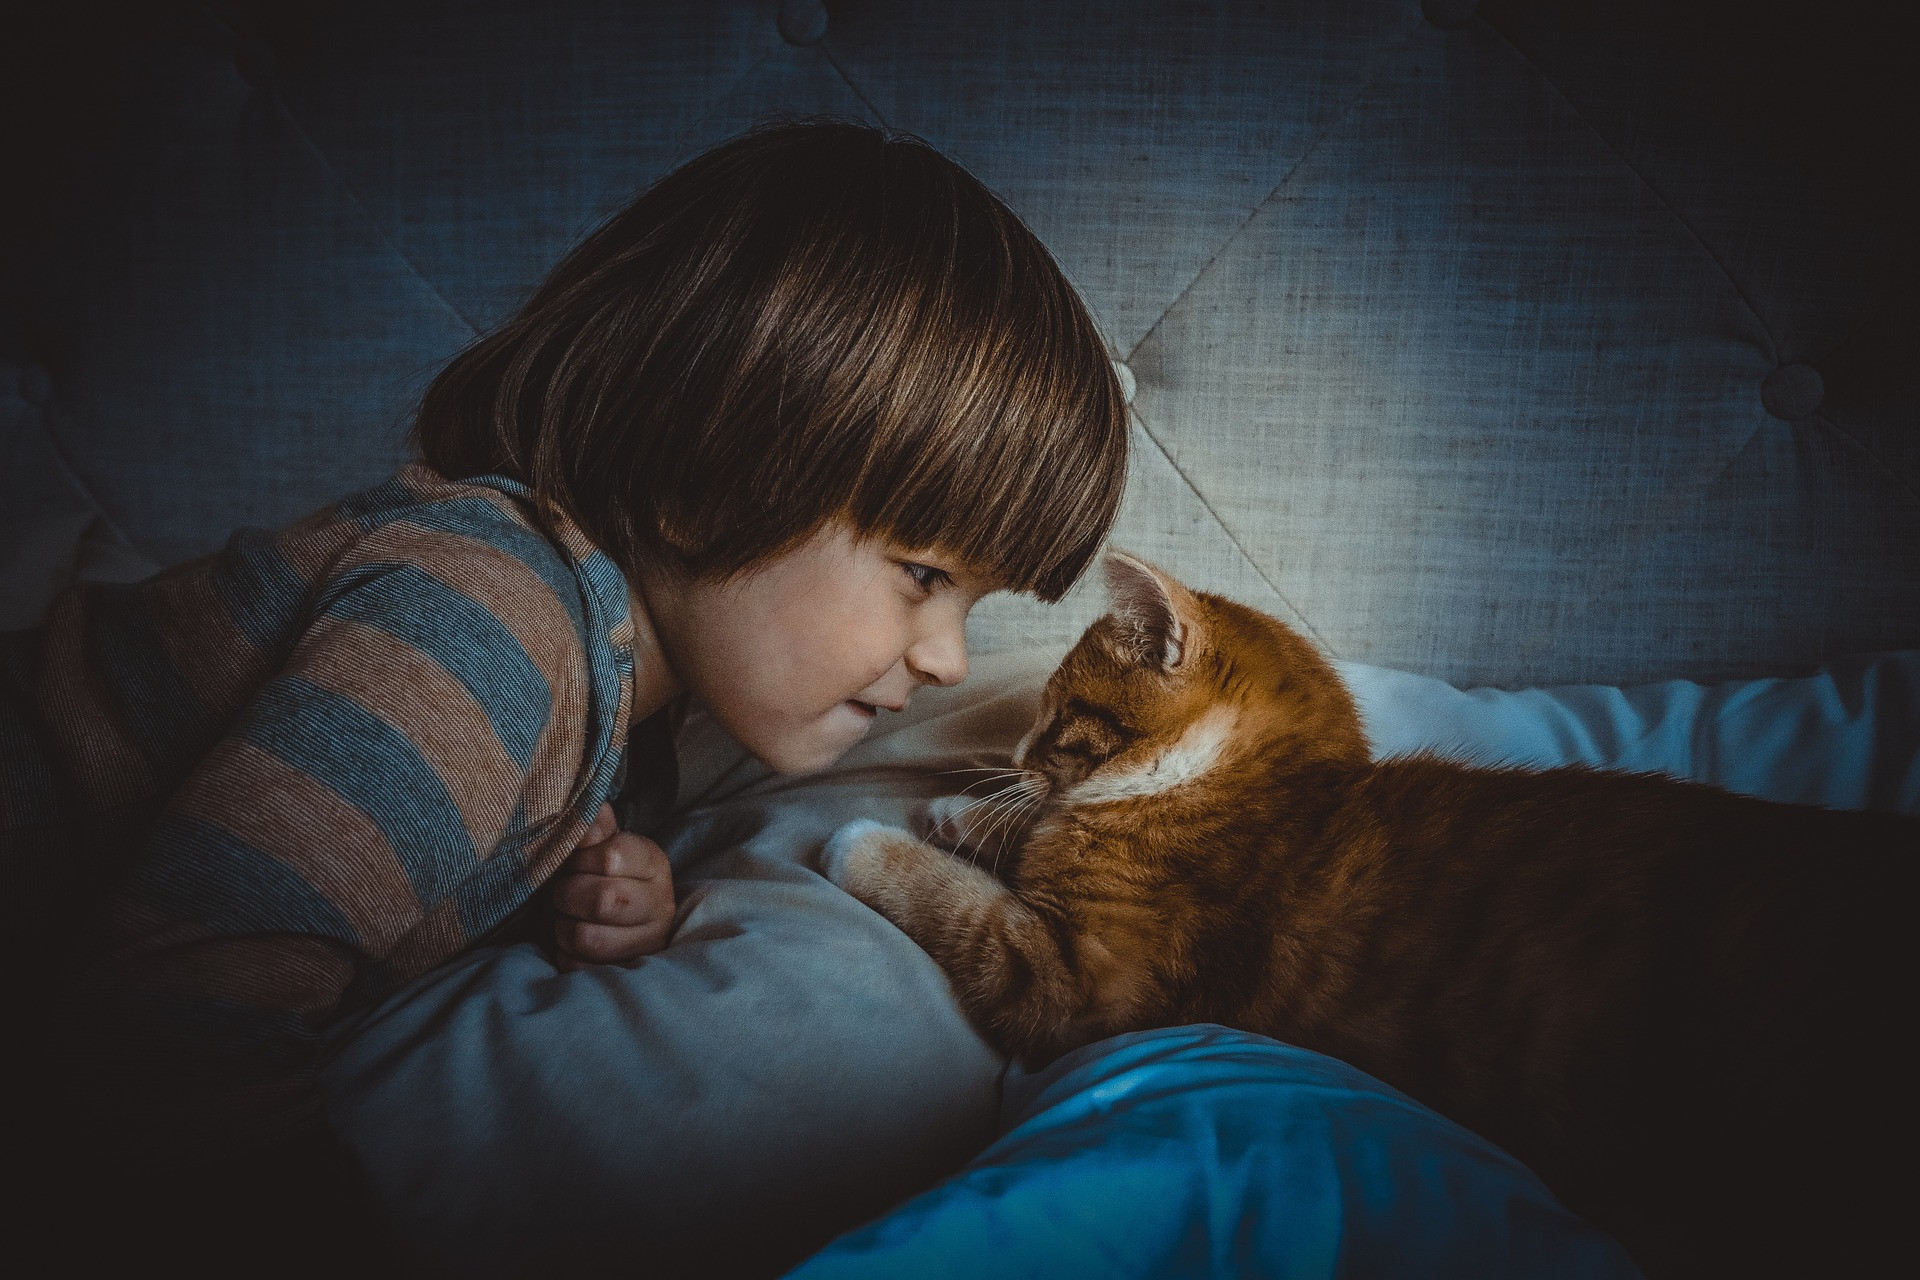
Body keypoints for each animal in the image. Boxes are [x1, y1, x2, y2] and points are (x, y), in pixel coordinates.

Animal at [821, 548, 1904, 1280]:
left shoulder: (1082, 985)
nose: (1012, 755)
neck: (1239, 785)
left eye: (1055, 714)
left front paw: (873, 840)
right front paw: (967, 814)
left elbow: (971, 910)